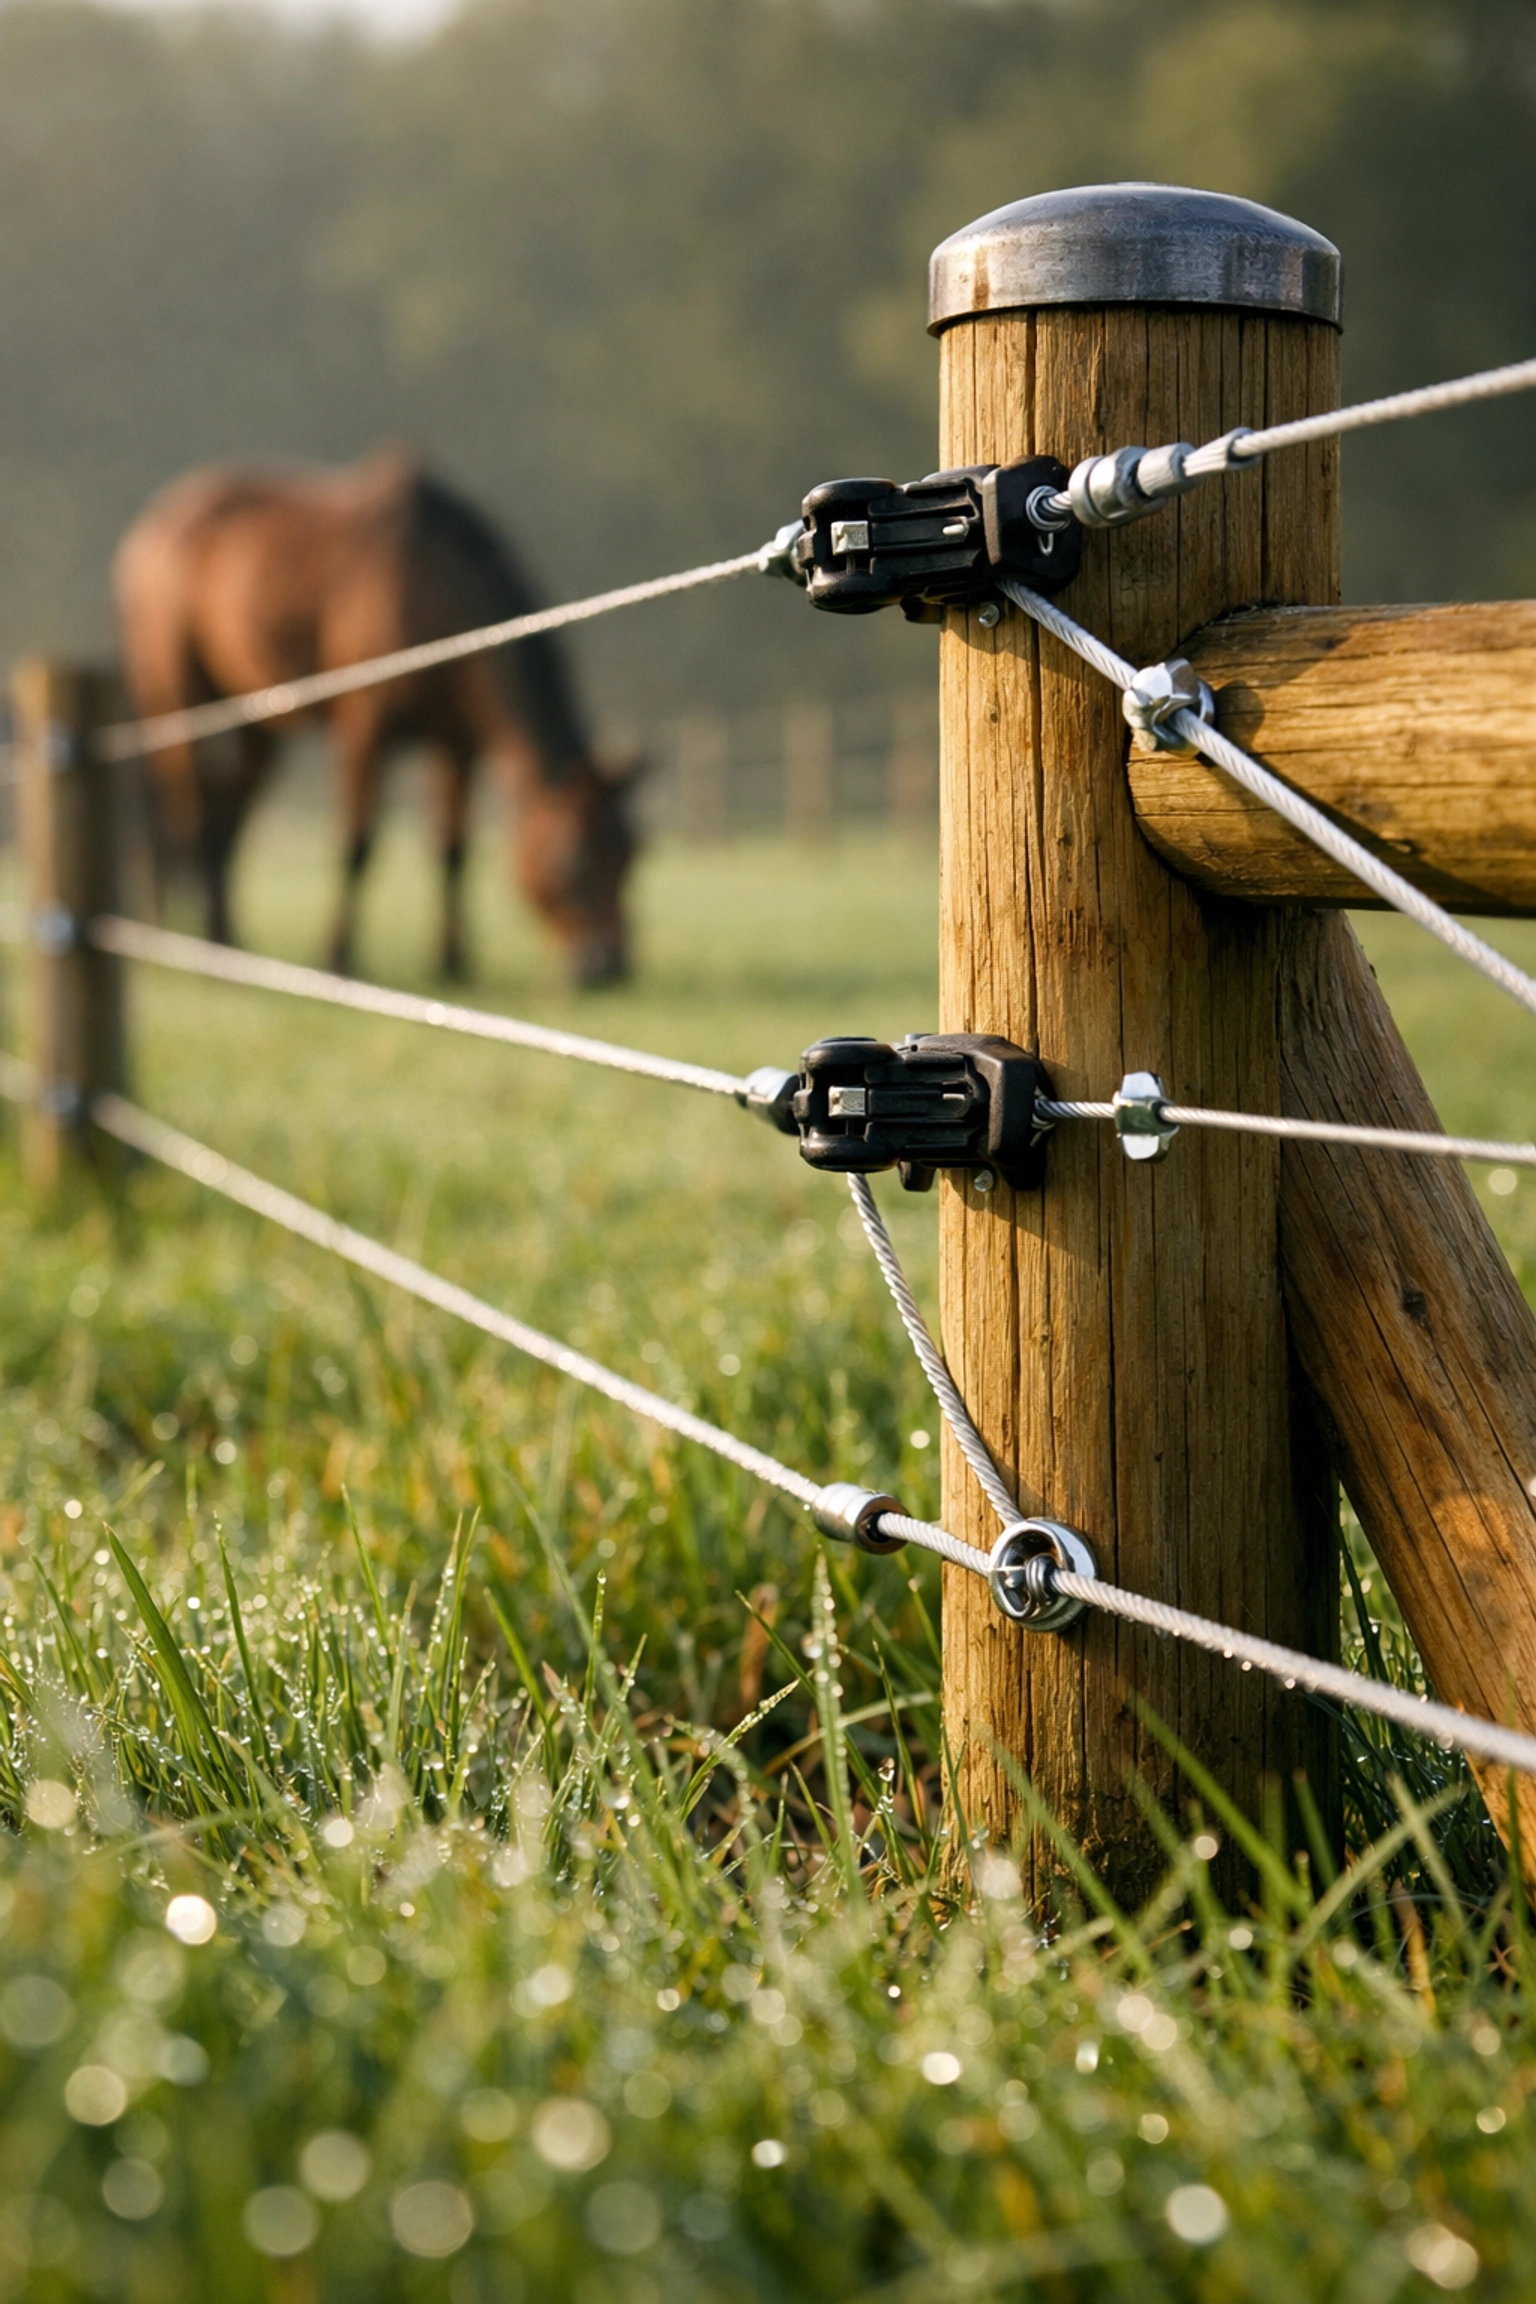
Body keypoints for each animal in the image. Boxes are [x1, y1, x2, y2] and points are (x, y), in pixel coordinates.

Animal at [113, 450, 637, 986]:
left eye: (630, 856)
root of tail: (158, 523)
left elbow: (453, 847)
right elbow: (357, 843)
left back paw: (228, 942)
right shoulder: (364, 730)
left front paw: (452, 962)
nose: (607, 966)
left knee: (228, 819)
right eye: (574, 860)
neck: (434, 584)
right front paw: (338, 958)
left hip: (254, 718)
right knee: (189, 812)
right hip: (176, 700)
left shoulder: (456, 742)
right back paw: (194, 944)